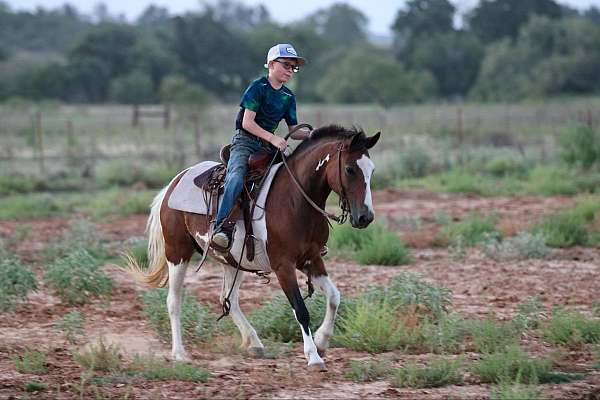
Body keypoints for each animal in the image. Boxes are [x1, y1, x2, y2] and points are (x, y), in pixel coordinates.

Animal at [126, 126, 380, 372]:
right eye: (349, 169)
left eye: (372, 170)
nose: (365, 217)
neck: (295, 199)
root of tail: (174, 182)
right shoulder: (283, 265)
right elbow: (300, 309)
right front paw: (313, 357)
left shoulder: (312, 259)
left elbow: (335, 297)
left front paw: (322, 340)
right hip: (177, 253)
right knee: (174, 301)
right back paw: (179, 353)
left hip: (232, 260)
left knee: (228, 299)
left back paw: (254, 342)